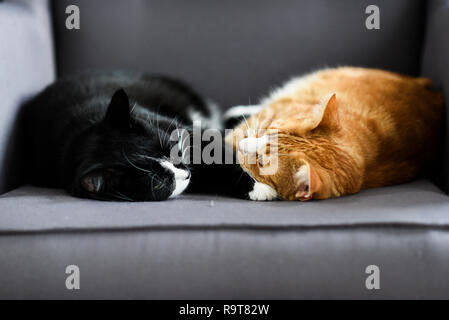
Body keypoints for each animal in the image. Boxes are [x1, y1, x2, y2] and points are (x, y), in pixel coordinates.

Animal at [24, 71, 252, 201]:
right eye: (158, 183)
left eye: (169, 147)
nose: (186, 174)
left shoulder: (176, 126)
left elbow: (214, 150)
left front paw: (254, 185)